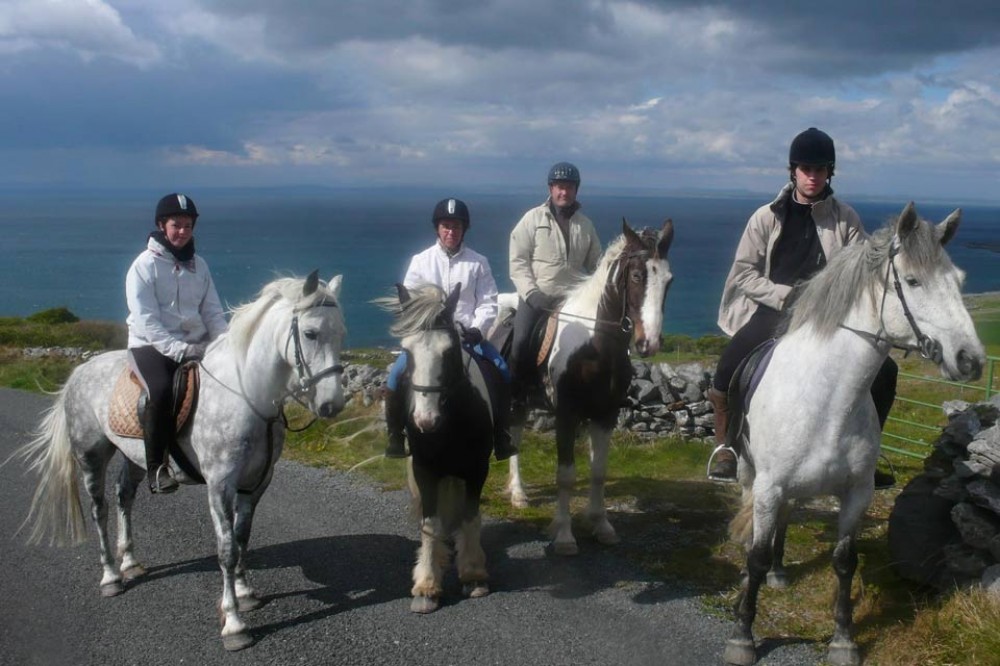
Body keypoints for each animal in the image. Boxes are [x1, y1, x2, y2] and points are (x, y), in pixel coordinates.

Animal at [16, 270, 348, 648]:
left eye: (341, 333)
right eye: (310, 333)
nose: (332, 404)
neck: (247, 397)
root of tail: (80, 371)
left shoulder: (256, 484)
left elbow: (242, 537)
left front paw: (245, 593)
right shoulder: (220, 485)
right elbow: (226, 548)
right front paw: (234, 624)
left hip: (136, 458)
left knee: (123, 497)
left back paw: (130, 562)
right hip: (91, 454)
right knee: (100, 509)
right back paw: (111, 576)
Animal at [724, 204, 988, 664]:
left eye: (958, 281)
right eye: (913, 280)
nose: (970, 360)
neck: (827, 399)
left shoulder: (857, 493)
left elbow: (845, 561)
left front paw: (843, 639)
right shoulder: (769, 486)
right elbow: (755, 553)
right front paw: (743, 634)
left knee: (786, 521)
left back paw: (779, 571)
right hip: (749, 475)